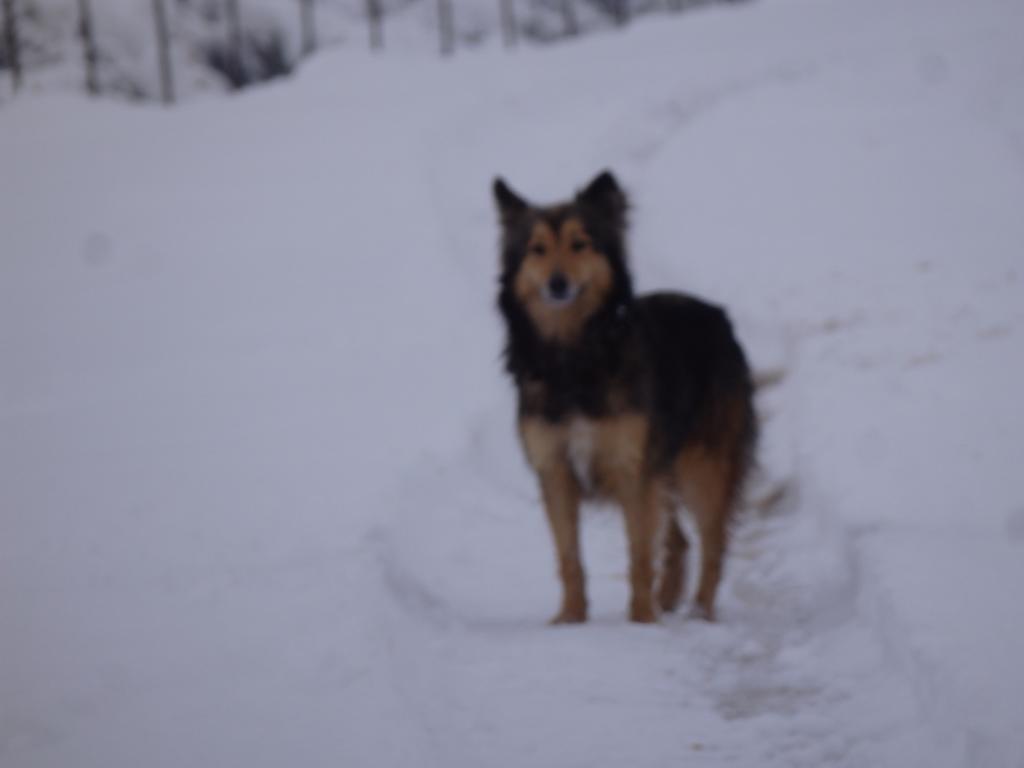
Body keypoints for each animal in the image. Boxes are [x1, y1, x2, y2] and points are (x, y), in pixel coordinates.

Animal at [491, 169, 757, 626]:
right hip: (665, 465)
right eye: (537, 249)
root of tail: (718, 316)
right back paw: (669, 600)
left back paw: (699, 613)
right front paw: (571, 619)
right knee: (681, 539)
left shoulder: (632, 467)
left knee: (713, 542)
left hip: (700, 465)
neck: (575, 355)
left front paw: (641, 622)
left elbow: (639, 553)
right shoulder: (555, 469)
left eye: (580, 243)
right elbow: (569, 557)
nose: (557, 284)